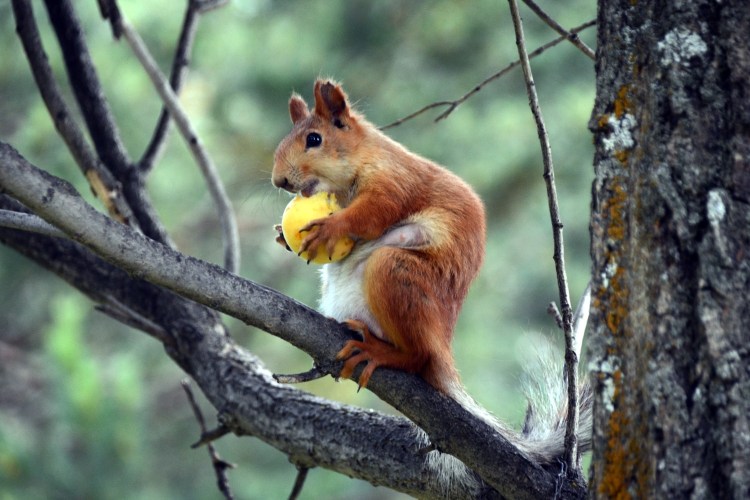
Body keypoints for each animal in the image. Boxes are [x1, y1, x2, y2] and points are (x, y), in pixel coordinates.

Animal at [272, 79, 592, 468]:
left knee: (418, 357)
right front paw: (280, 236)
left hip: (394, 273)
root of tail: (442, 346)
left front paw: (333, 228)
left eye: (314, 139)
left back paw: (382, 354)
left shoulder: (396, 181)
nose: (279, 180)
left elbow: (373, 213)